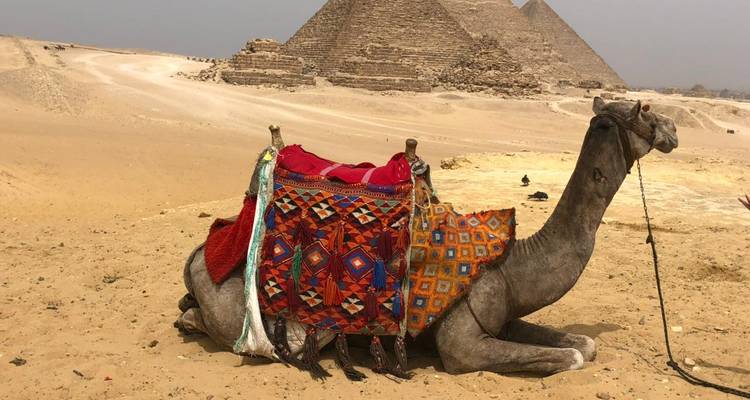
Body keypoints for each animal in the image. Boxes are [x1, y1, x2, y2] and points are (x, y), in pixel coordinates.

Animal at [175, 97, 678, 376]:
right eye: (646, 113)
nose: (674, 132)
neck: (512, 264)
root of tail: (200, 253)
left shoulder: (501, 317)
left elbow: (584, 345)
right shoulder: (462, 344)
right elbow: (573, 357)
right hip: (257, 317)